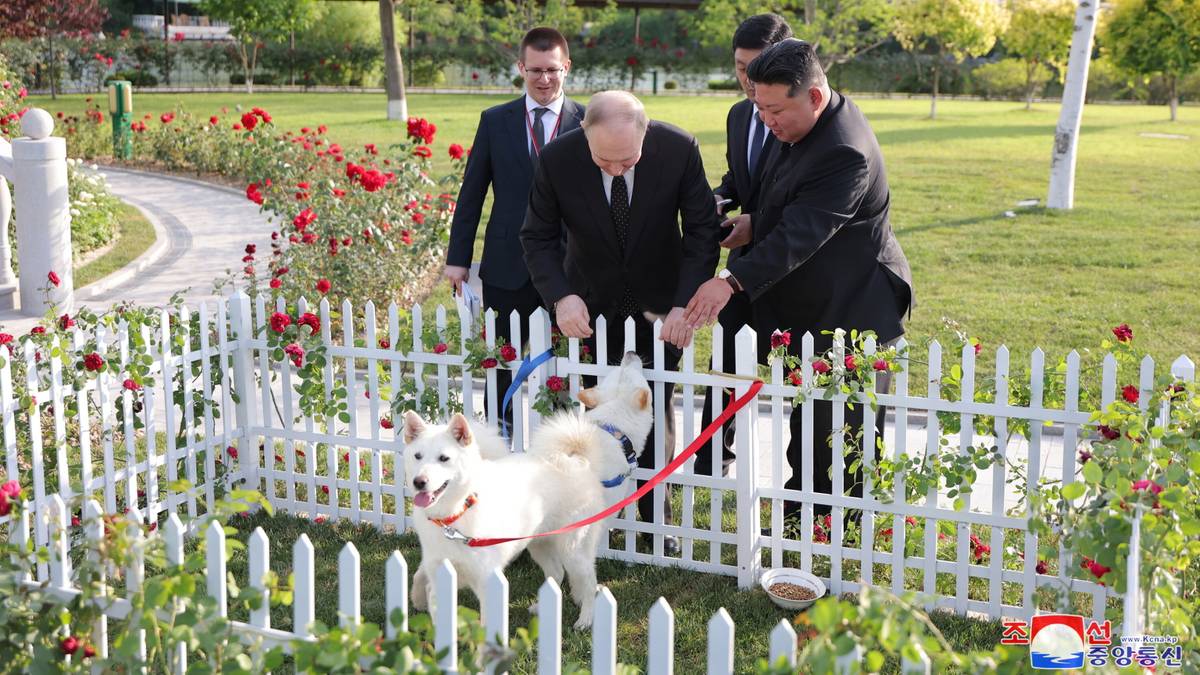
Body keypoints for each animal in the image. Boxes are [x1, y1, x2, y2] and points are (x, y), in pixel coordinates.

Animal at [403, 348, 652, 629]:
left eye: (624, 369)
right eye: (418, 457)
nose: (630, 352)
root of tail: (576, 458)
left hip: (556, 544)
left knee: (574, 578)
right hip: (553, 544)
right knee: (565, 573)